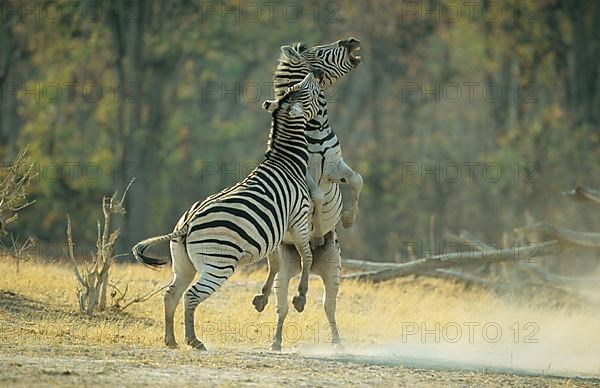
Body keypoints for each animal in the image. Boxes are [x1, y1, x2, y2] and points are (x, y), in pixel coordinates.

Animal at [132, 69, 324, 352]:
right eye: (303, 89)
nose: (315, 72)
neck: (287, 161)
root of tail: (187, 224)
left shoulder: (275, 231)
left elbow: (276, 264)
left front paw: (262, 298)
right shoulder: (297, 218)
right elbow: (307, 256)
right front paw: (300, 297)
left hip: (183, 264)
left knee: (171, 294)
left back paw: (171, 340)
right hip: (218, 264)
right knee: (191, 296)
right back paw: (193, 340)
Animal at [251, 38, 364, 350]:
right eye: (321, 51)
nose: (351, 41)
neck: (314, 128)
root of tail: (312, 268)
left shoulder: (336, 167)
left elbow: (357, 181)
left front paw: (348, 220)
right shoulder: (306, 174)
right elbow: (317, 198)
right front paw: (316, 221)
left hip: (333, 269)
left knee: (328, 306)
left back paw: (338, 343)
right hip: (287, 263)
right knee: (280, 296)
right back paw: (274, 333)